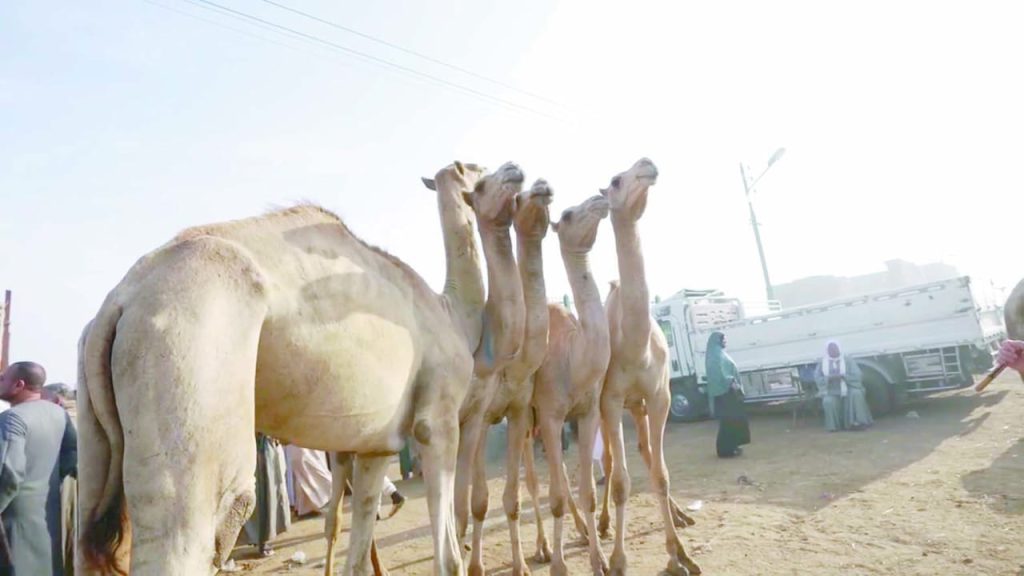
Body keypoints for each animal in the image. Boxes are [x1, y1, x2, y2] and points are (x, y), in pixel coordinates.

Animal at [77, 202, 481, 573]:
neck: (450, 312)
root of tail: (121, 298)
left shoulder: (376, 444)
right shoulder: (438, 415)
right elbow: (449, 557)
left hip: (96, 419)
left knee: (92, 537)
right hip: (184, 349)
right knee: (199, 521)